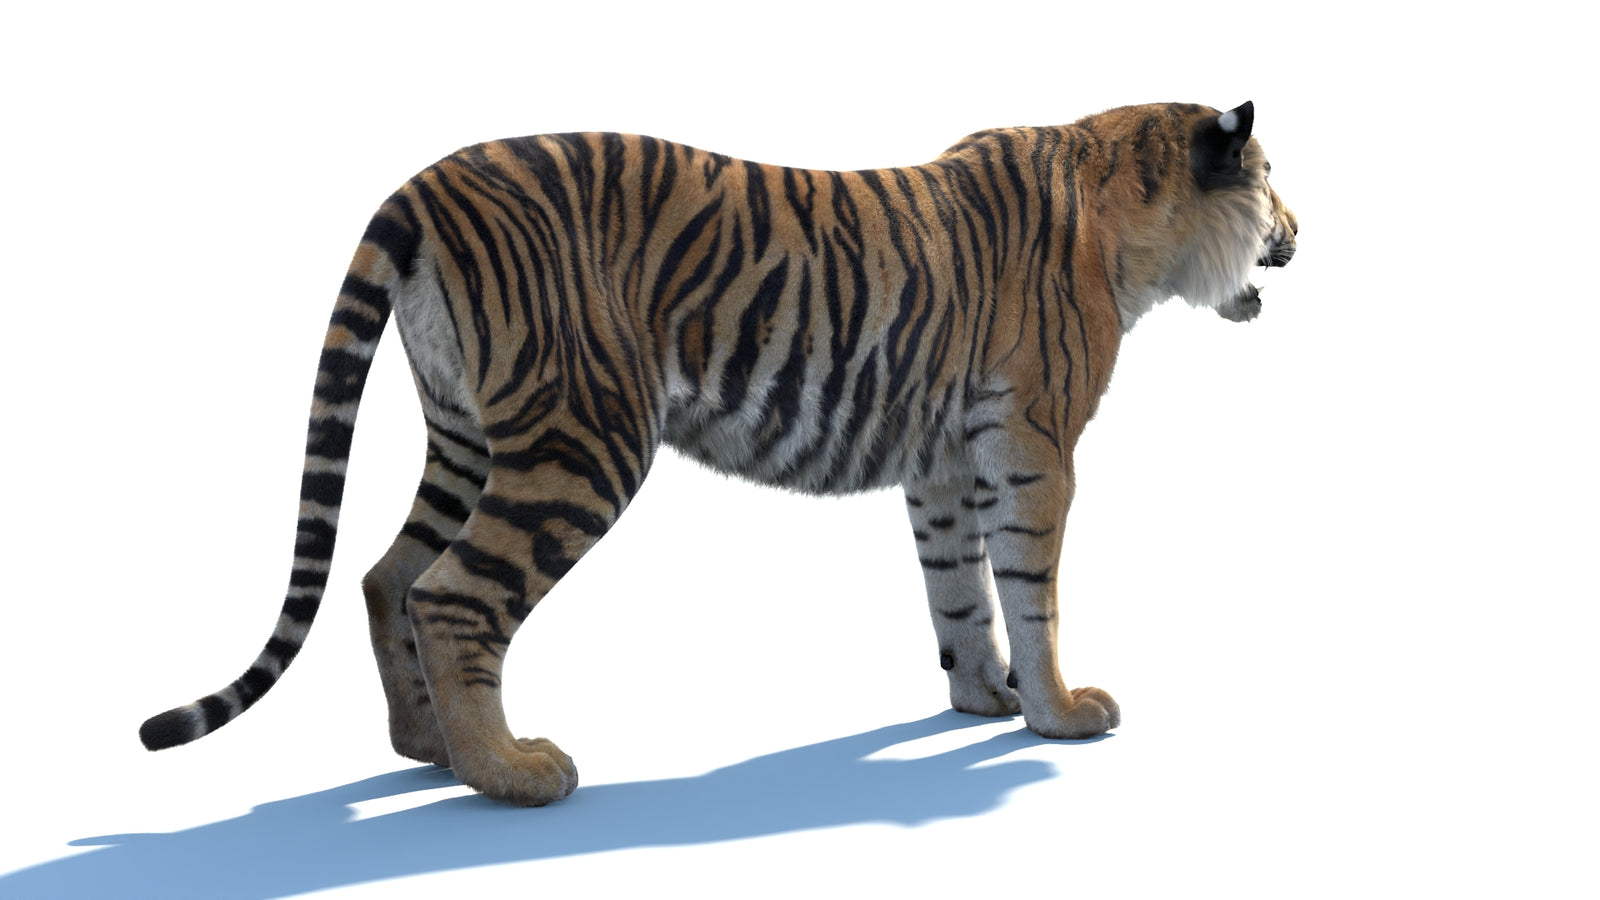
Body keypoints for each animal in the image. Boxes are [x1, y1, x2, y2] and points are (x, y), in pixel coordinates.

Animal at [140, 101, 1298, 806]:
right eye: (1273, 181)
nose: (1299, 229)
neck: (1133, 223)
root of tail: (426, 185)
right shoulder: (1033, 443)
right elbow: (1031, 588)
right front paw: (1060, 716)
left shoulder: (940, 460)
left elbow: (958, 593)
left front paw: (983, 701)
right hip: (581, 438)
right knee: (451, 593)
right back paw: (509, 775)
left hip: (469, 436)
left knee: (388, 578)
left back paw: (429, 750)